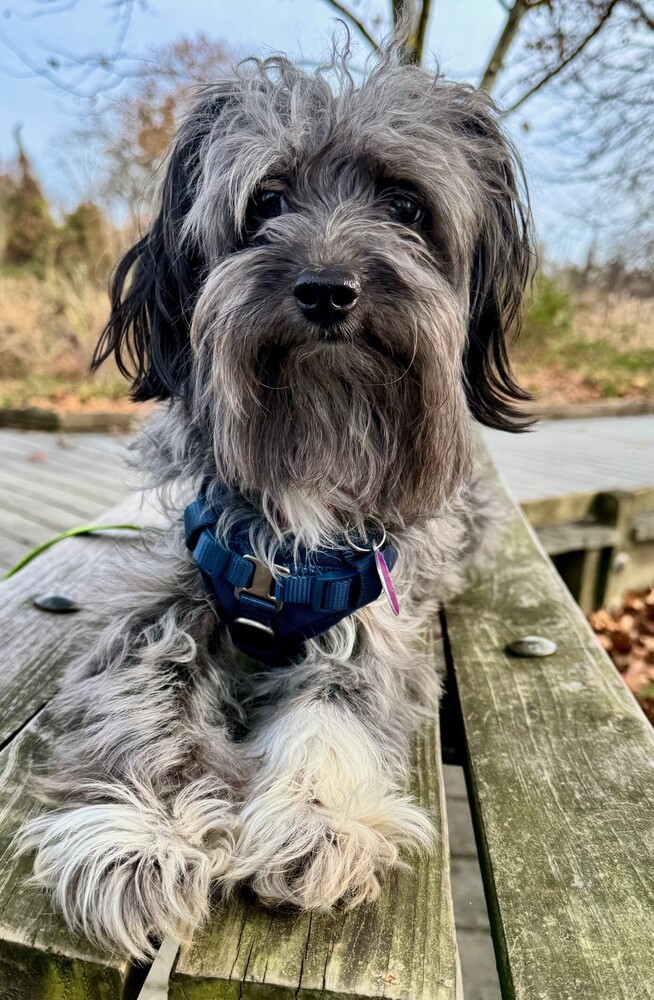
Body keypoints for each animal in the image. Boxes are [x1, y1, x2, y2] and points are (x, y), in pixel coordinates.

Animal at [19, 37, 532, 960]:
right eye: (267, 200)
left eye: (405, 204)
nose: (328, 288)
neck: (316, 436)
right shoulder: (167, 604)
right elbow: (144, 711)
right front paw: (143, 829)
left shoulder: (371, 617)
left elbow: (333, 713)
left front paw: (316, 820)